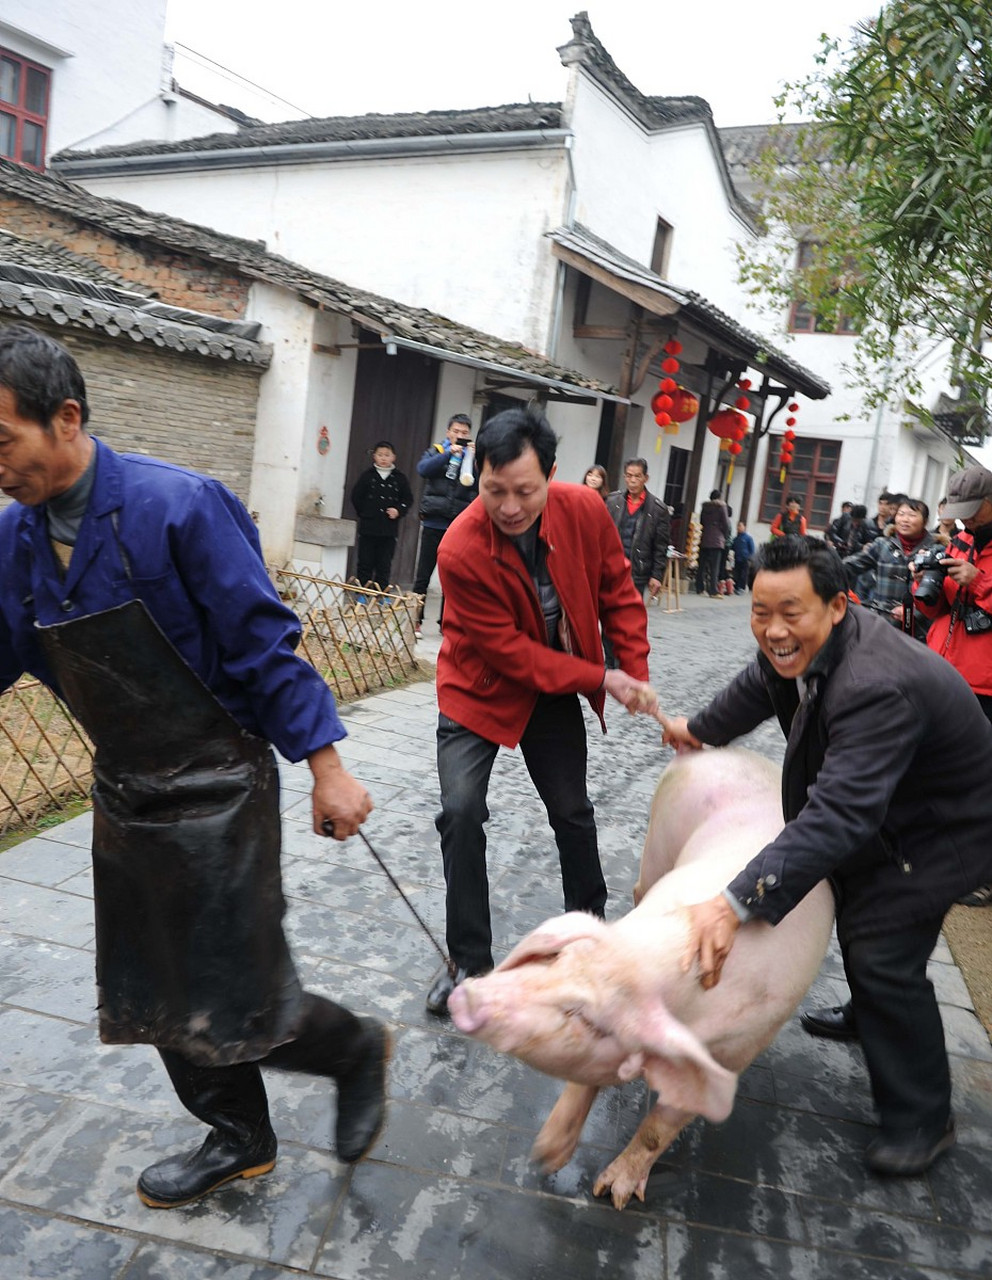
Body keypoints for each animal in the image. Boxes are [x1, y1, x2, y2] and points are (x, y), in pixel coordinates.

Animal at [453, 747, 839, 1203]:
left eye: (585, 1018)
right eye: (554, 959)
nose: (466, 997)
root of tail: (727, 751)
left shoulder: (735, 1052)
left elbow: (662, 1125)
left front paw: (610, 1194)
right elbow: (584, 1084)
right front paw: (544, 1157)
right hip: (659, 837)